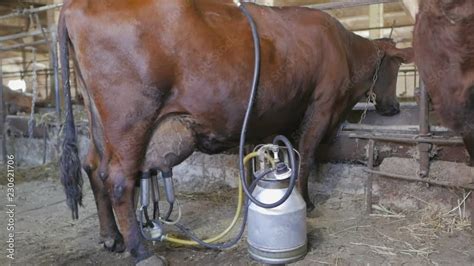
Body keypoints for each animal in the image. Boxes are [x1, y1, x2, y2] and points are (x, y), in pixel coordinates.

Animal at [59, 0, 412, 262]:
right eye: (396, 67)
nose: (394, 107)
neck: (344, 49)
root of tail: (72, 6)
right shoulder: (321, 105)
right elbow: (307, 155)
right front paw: (308, 202)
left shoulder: (271, 116)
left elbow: (266, 155)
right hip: (129, 119)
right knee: (119, 180)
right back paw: (142, 252)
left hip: (99, 121)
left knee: (93, 167)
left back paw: (111, 238)